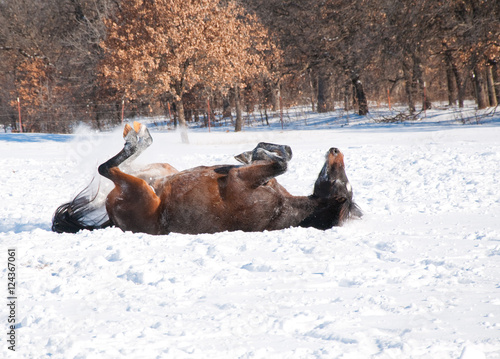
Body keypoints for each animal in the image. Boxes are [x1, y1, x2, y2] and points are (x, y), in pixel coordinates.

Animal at [50, 122, 362, 236]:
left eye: (342, 182)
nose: (335, 151)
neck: (282, 207)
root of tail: (114, 221)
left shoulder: (240, 180)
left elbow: (282, 163)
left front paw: (256, 152)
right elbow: (284, 153)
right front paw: (251, 151)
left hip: (139, 190)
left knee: (107, 169)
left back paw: (137, 139)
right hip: (161, 171)